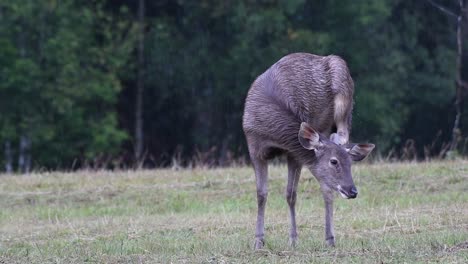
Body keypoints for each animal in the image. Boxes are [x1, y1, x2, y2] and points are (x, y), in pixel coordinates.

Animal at [243, 52, 374, 249]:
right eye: (333, 161)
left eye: (351, 164)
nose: (352, 191)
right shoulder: (255, 148)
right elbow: (261, 194)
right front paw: (258, 240)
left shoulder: (293, 153)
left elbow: (291, 194)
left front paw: (293, 238)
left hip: (344, 101)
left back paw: (330, 238)